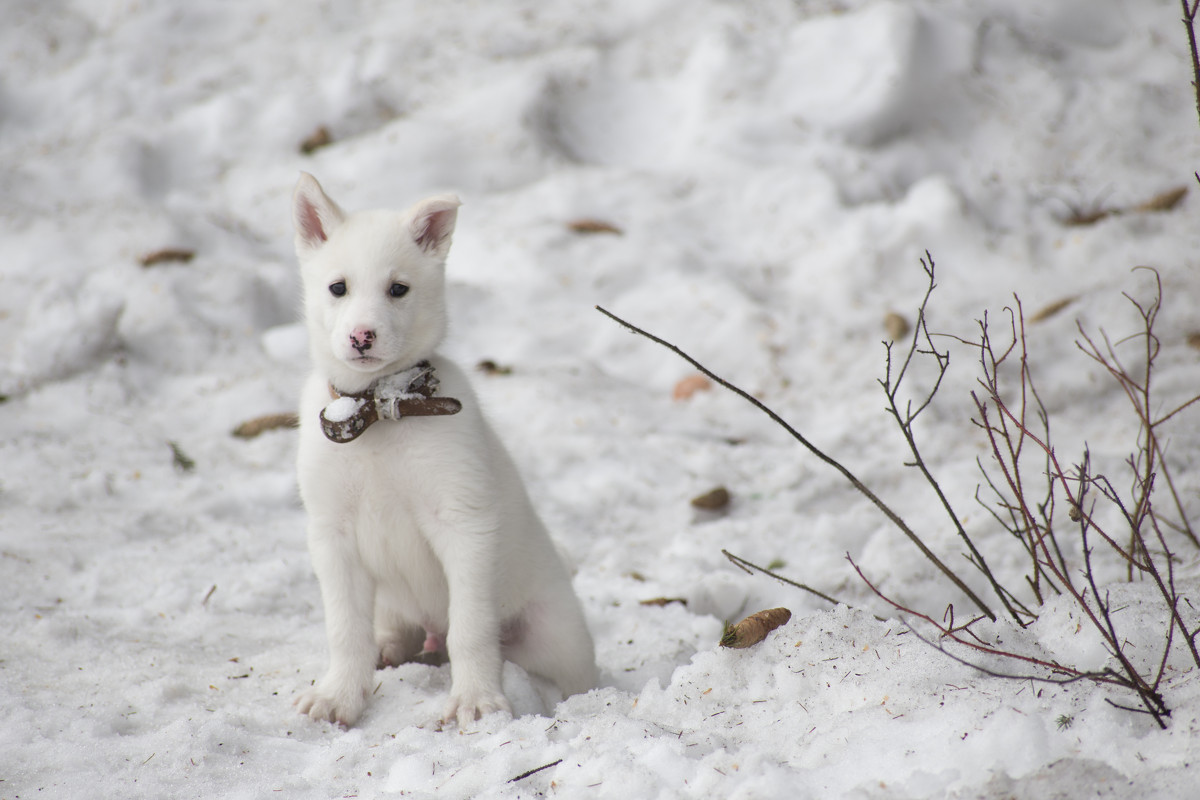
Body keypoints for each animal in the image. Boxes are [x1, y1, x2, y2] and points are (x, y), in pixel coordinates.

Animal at [286, 173, 595, 724]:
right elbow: (345, 630)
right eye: (338, 287)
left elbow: (471, 628)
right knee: (390, 630)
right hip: (390, 602)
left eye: (398, 289)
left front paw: (476, 699)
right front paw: (339, 694)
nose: (362, 336)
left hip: (554, 632)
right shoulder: (332, 535)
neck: (380, 407)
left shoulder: (464, 524)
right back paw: (390, 647)